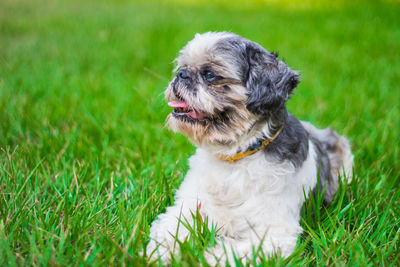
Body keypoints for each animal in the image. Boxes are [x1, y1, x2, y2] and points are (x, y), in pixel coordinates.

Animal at [147, 32, 354, 264]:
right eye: (181, 67)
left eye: (209, 75)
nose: (181, 75)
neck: (235, 156)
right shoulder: (188, 207)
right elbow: (169, 230)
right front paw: (161, 254)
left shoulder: (274, 233)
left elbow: (233, 253)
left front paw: (204, 258)